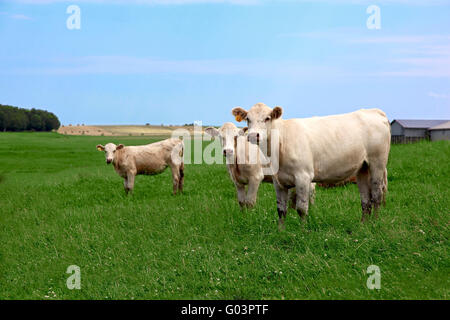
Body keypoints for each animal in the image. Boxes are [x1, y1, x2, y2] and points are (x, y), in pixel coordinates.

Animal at [232, 103, 390, 228]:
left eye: (267, 118)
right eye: (248, 119)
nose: (254, 135)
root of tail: (373, 111)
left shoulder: (303, 176)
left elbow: (302, 208)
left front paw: (302, 231)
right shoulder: (278, 181)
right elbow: (281, 210)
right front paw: (280, 230)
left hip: (377, 163)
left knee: (376, 194)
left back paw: (375, 222)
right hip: (362, 168)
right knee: (365, 199)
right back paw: (364, 224)